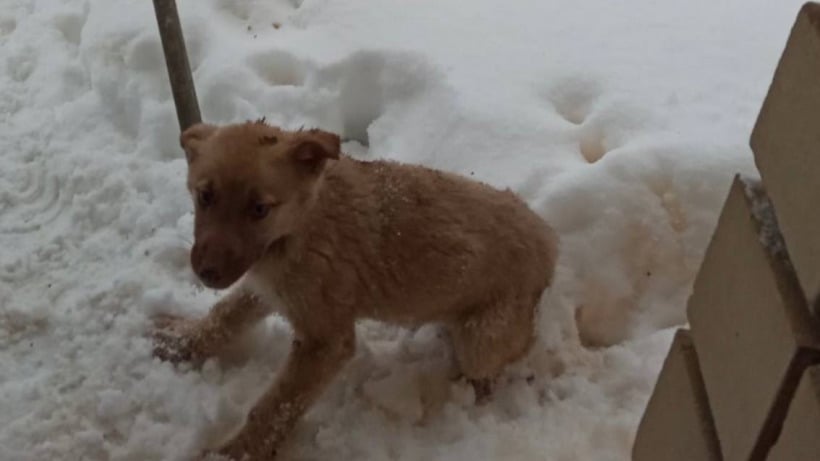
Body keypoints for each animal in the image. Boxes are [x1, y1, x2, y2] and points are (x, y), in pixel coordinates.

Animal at [152, 120, 556, 458]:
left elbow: (275, 405)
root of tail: (548, 238)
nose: (207, 274)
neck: (300, 227)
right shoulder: (265, 286)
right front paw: (180, 342)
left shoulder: (326, 342)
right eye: (205, 196)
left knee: (503, 361)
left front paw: (235, 452)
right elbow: (224, 316)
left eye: (259, 208)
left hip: (482, 339)